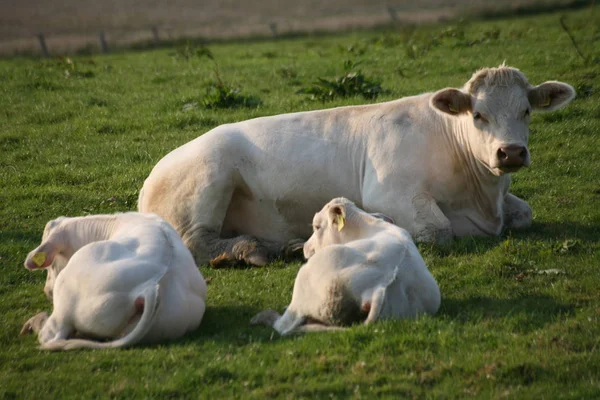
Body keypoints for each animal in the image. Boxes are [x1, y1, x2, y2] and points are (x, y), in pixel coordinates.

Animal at [138, 65, 576, 266]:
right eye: (479, 115)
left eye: (526, 111)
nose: (511, 152)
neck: (482, 198)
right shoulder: (389, 191)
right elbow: (437, 231)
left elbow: (525, 213)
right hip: (211, 176)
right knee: (197, 242)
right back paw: (251, 249)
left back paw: (285, 245)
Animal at [250, 197, 440, 334]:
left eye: (317, 226)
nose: (305, 248)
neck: (370, 226)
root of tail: (378, 286)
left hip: (305, 281)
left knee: (284, 326)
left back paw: (263, 317)